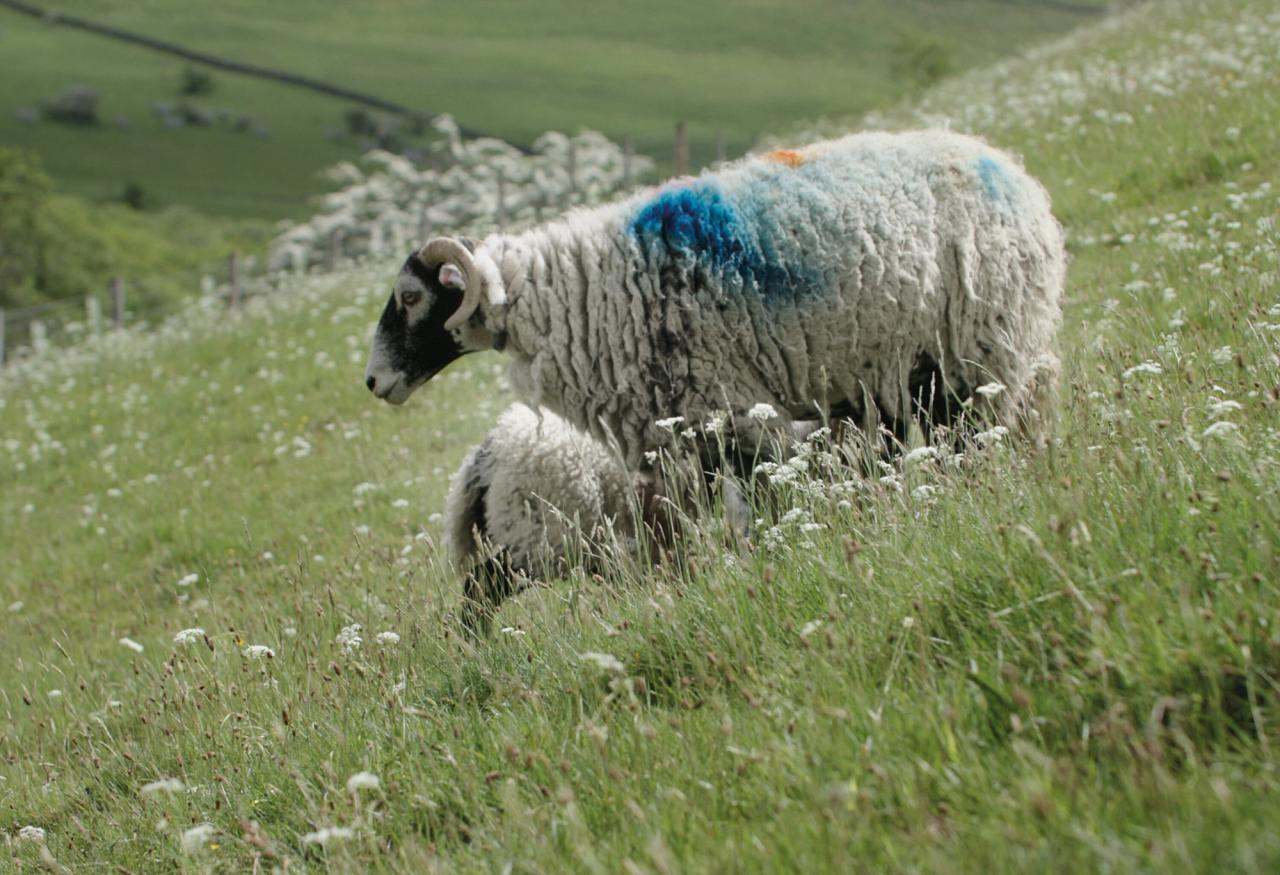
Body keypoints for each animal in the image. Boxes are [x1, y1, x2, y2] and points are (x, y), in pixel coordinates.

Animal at [366, 129, 1065, 484]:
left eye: (410, 297)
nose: (373, 382)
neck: (572, 294)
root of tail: (1015, 174)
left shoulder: (722, 409)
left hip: (978, 350)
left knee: (979, 435)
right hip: (921, 366)